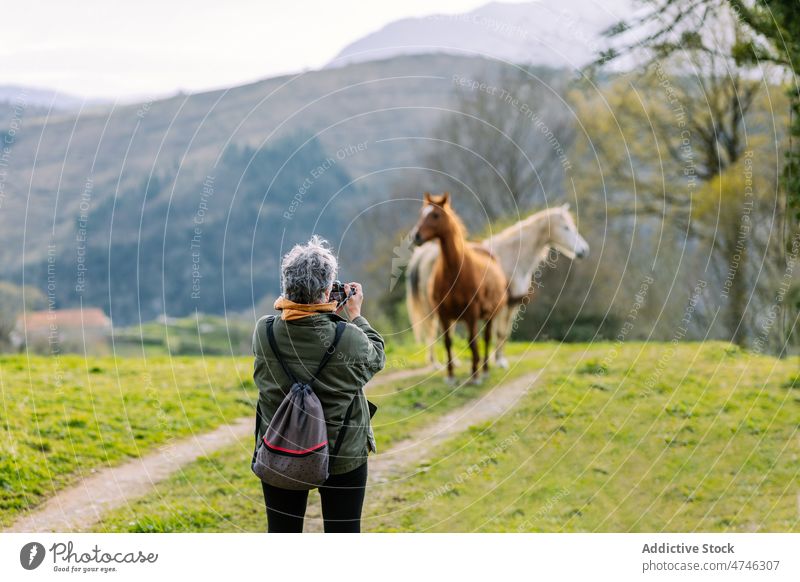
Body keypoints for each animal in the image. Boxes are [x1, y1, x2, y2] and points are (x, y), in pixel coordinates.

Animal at [406, 205, 588, 368]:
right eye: (566, 228)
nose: (584, 250)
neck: (512, 257)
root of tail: (423, 254)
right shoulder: (504, 303)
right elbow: (499, 332)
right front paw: (498, 361)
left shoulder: (513, 304)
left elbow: (504, 333)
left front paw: (499, 359)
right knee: (432, 329)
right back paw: (435, 363)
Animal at [412, 192, 506, 384]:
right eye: (421, 213)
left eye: (435, 215)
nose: (416, 236)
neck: (454, 272)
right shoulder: (443, 313)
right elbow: (448, 342)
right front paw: (450, 376)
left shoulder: (471, 313)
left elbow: (472, 341)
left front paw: (475, 375)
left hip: (490, 315)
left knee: (486, 339)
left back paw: (485, 369)